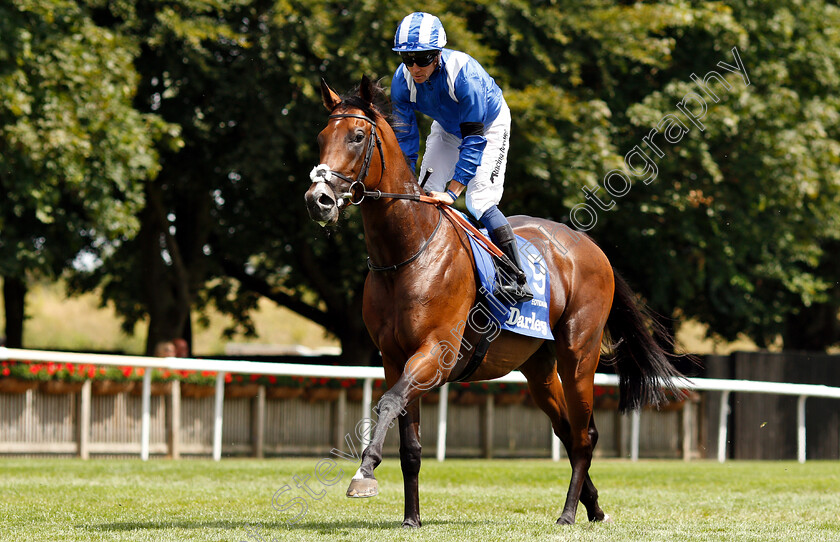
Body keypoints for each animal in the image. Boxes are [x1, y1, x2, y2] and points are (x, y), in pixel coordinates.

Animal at [302, 74, 684, 528]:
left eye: (357, 137)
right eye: (321, 137)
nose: (318, 199)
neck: (406, 252)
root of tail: (592, 247)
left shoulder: (436, 352)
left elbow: (390, 401)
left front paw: (364, 473)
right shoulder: (393, 358)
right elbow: (409, 444)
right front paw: (411, 518)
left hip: (578, 355)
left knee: (584, 434)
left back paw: (569, 513)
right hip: (538, 369)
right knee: (567, 431)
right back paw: (593, 507)